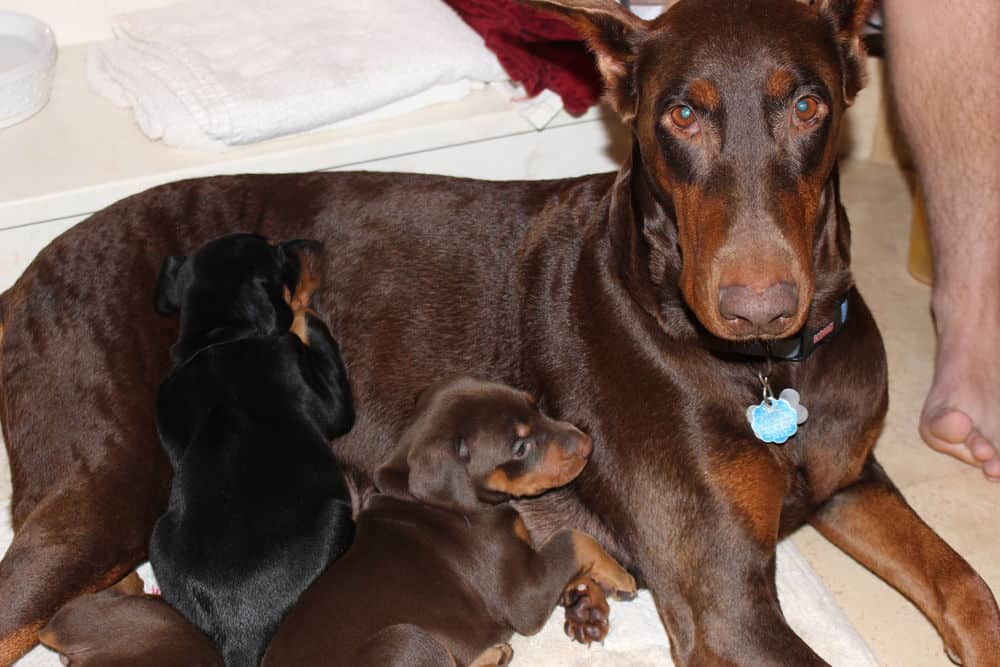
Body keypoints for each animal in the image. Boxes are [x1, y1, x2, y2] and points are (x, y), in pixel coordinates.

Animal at [146, 235, 354, 667]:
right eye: (279, 255)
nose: (315, 242)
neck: (218, 336)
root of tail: (239, 632)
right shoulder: (327, 402)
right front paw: (306, 314)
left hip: (156, 539)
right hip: (336, 518)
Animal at [258, 378, 632, 664]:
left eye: (535, 406)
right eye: (520, 447)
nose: (587, 444)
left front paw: (588, 597)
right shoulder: (522, 596)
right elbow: (573, 536)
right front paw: (619, 575)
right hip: (405, 638)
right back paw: (494, 653)